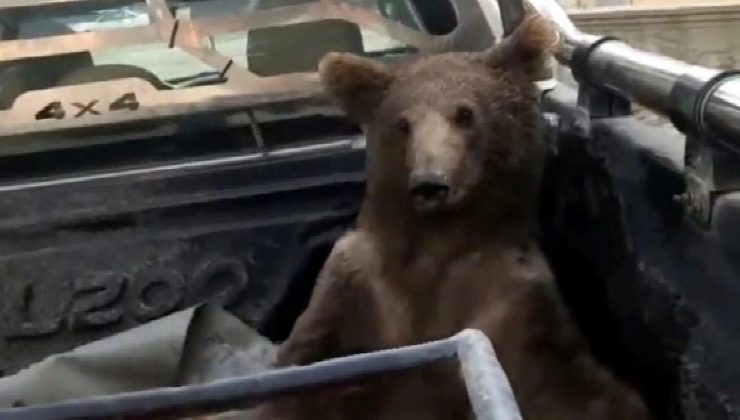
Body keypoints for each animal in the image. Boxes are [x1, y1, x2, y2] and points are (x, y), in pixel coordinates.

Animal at [253, 11, 652, 418]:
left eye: (465, 113)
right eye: (402, 123)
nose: (430, 183)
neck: (437, 247)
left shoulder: (516, 307)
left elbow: (583, 390)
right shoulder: (355, 293)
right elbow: (297, 373)